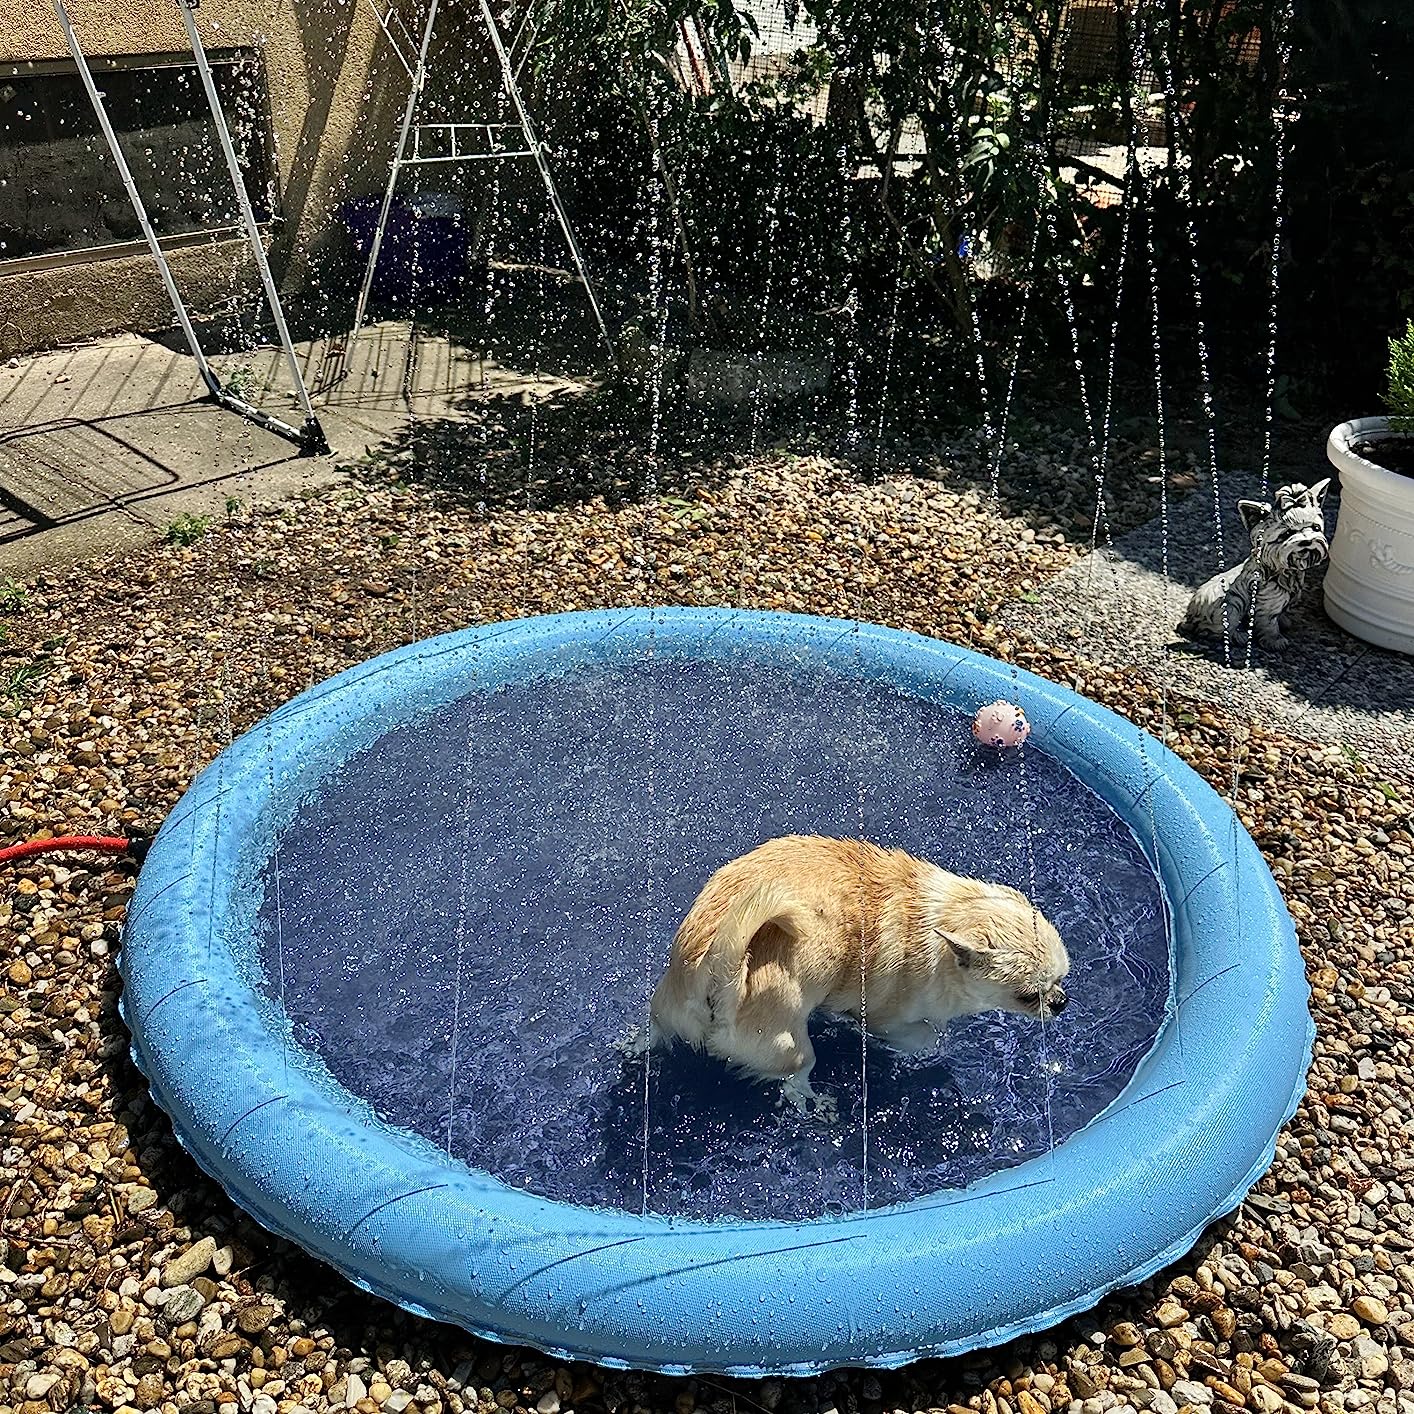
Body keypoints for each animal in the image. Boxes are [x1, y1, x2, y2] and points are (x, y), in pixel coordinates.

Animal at [644, 831, 1068, 1119]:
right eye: (1028, 996)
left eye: (1063, 977)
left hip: (670, 1007)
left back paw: (637, 1044)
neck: (940, 921)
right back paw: (812, 1101)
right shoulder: (884, 1019)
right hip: (789, 1048)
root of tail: (722, 973)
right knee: (794, 1077)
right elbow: (925, 1035)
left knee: (658, 1027)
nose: (1060, 1003)